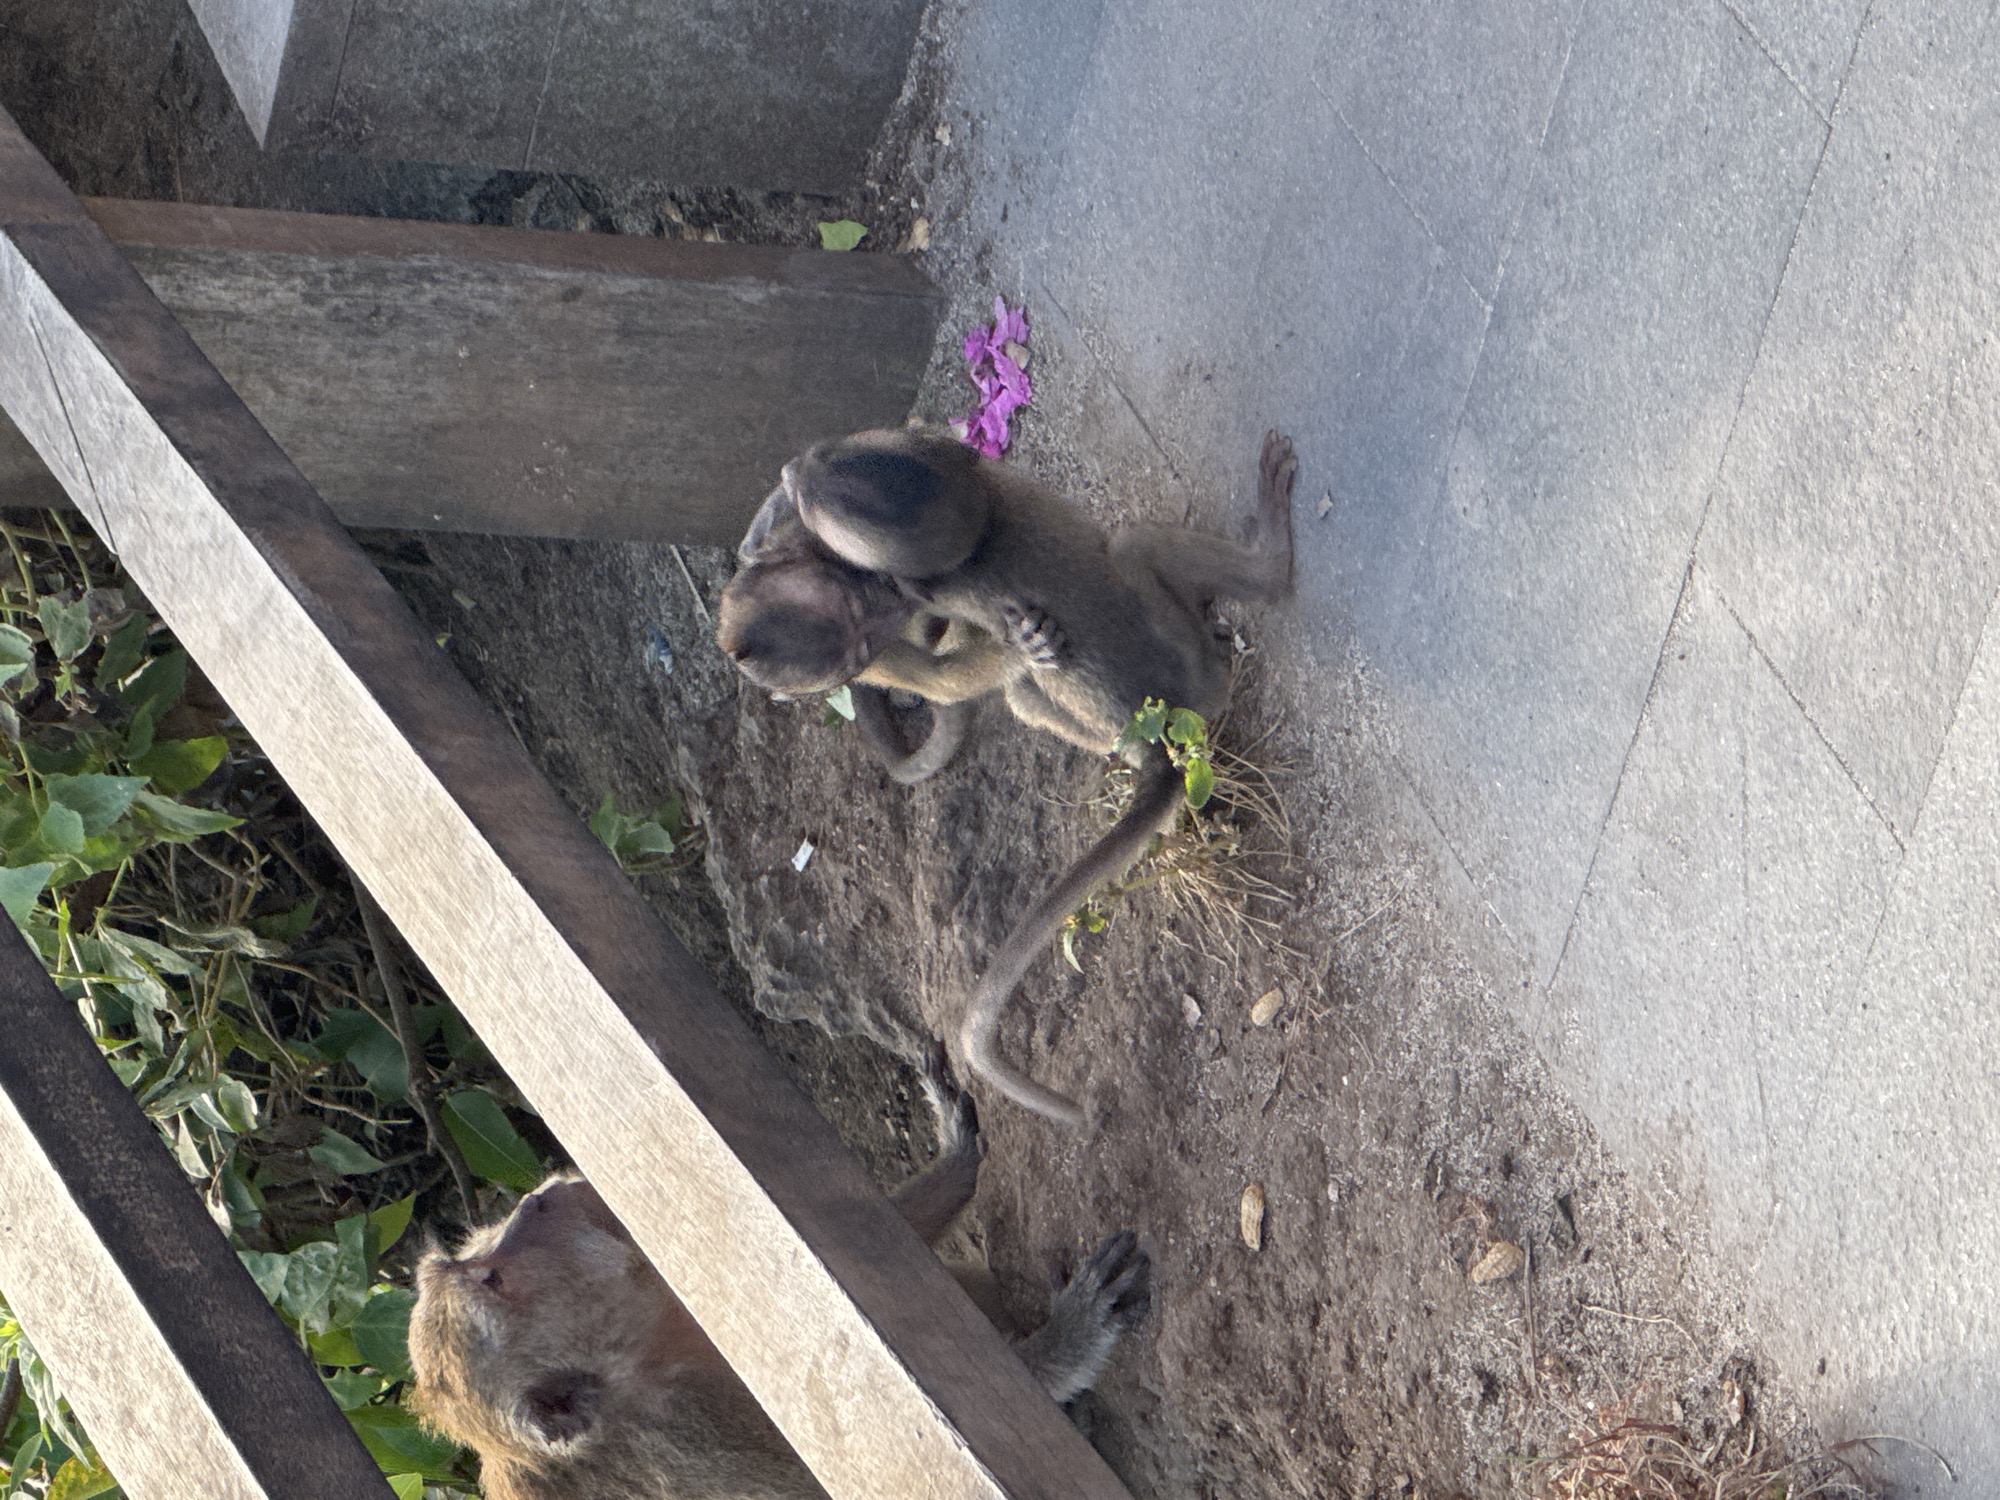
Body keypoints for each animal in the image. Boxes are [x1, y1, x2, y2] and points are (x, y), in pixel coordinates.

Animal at [407, 1080, 1151, 1500]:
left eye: (478, 1264)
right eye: (493, 1278)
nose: (536, 1200)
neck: (639, 1372)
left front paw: (954, 1163)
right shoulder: (694, 1434)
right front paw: (1072, 1335)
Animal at [716, 428, 1298, 1126]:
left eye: (861, 629)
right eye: (856, 612)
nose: (891, 603)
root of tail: (1158, 740)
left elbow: (939, 655)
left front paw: (796, 485)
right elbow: (946, 515)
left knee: (1021, 690)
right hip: (1191, 664)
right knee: (1136, 548)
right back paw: (1268, 563)